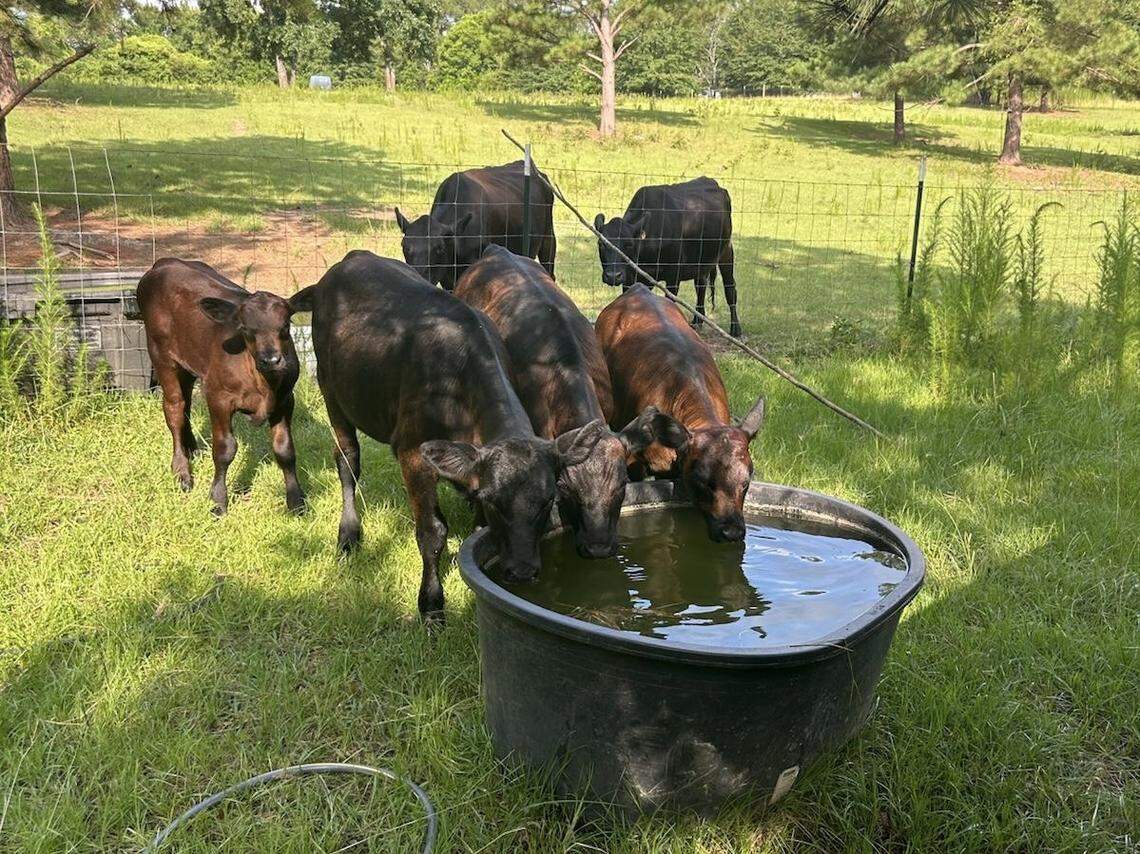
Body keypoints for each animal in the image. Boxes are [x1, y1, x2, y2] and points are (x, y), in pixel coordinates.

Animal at [136, 258, 305, 516]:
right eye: (245, 329)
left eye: (286, 326)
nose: (271, 360)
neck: (263, 383)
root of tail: (164, 262)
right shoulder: (218, 397)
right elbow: (225, 450)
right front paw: (218, 501)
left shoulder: (285, 399)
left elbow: (285, 449)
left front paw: (296, 501)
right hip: (161, 356)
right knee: (175, 408)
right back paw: (182, 472)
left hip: (190, 362)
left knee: (186, 403)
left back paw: (192, 449)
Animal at [289, 250, 596, 620]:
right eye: (494, 500)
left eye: (549, 499)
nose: (523, 571)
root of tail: (350, 259)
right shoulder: (413, 453)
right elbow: (432, 532)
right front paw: (432, 604)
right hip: (331, 390)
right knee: (347, 459)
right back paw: (349, 535)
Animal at [594, 176, 742, 339]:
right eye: (601, 243)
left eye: (629, 244)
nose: (613, 276)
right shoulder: (632, 278)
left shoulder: (673, 276)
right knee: (701, 285)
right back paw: (697, 321)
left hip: (727, 251)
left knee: (730, 289)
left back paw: (736, 329)